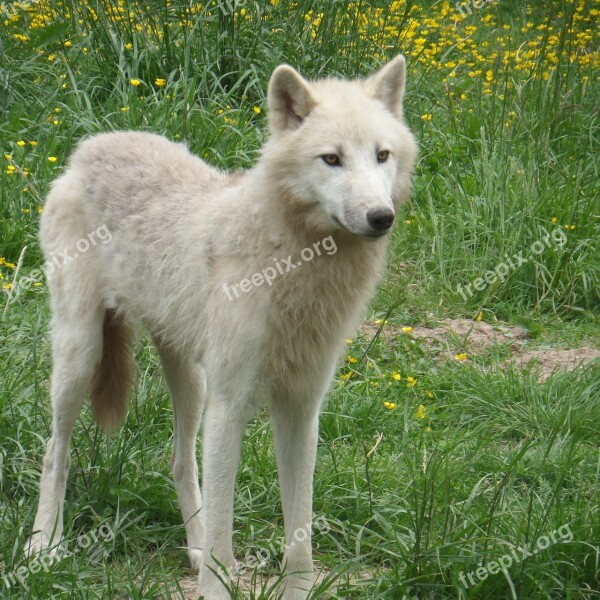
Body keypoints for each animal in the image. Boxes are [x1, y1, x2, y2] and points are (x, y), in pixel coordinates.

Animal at [27, 57, 418, 600]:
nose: (381, 217)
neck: (293, 266)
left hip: (191, 380)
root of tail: (90, 145)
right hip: (82, 358)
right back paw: (44, 545)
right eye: (331, 160)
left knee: (179, 461)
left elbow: (299, 533)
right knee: (54, 451)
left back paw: (189, 549)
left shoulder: (301, 407)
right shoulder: (231, 406)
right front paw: (215, 581)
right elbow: (223, 530)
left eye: (382, 155)